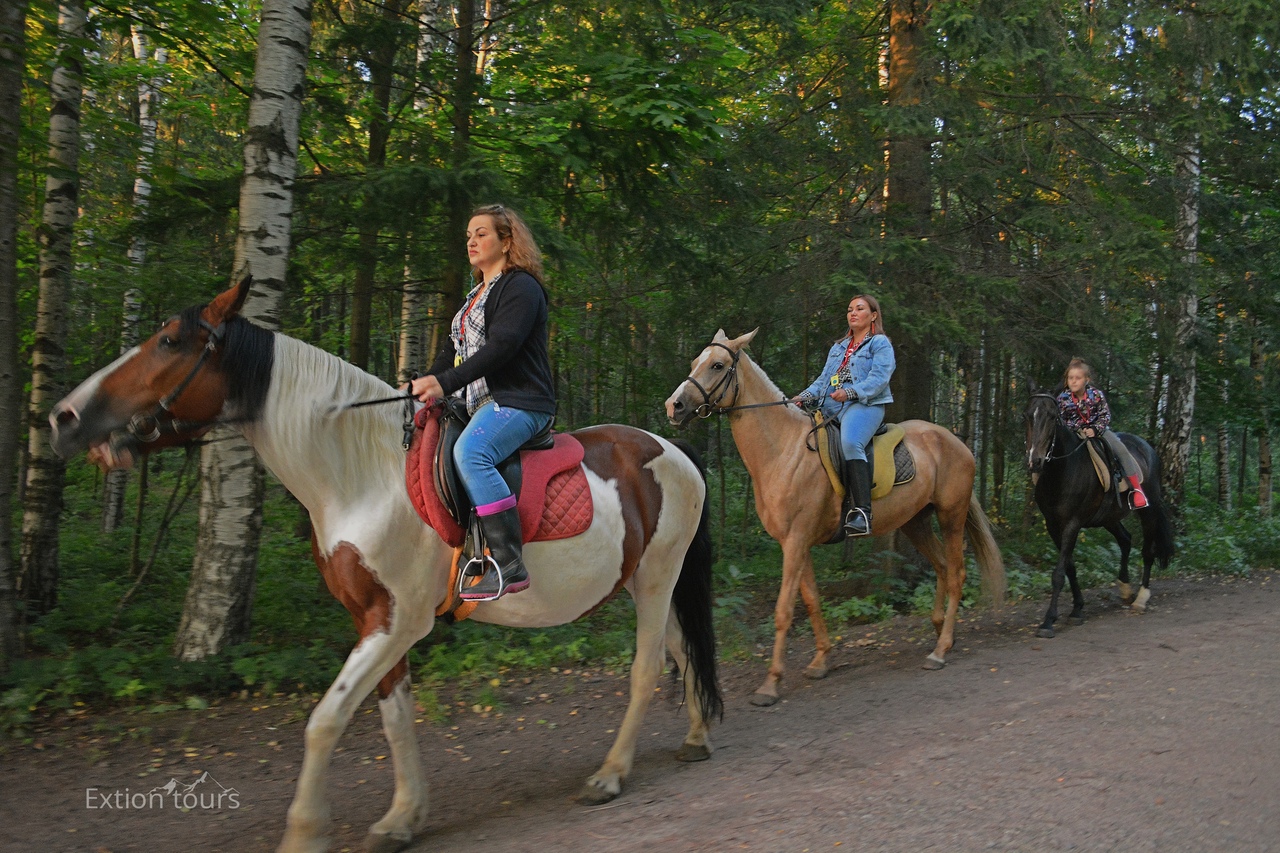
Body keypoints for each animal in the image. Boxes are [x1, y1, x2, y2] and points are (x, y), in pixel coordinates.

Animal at [49, 277, 727, 845]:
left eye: (168, 341)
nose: (64, 416)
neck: (360, 474)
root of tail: (672, 449)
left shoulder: (395, 621)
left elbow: (325, 721)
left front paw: (305, 831)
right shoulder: (373, 620)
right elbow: (395, 717)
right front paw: (403, 817)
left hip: (658, 577)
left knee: (646, 667)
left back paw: (610, 774)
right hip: (645, 581)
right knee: (679, 646)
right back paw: (697, 736)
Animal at [665, 325, 1003, 701]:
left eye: (718, 365)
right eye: (696, 362)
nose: (674, 406)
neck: (783, 451)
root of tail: (956, 442)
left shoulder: (796, 541)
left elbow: (784, 610)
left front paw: (770, 684)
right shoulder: (795, 543)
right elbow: (811, 600)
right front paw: (821, 661)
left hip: (951, 516)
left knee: (956, 573)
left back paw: (940, 650)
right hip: (916, 523)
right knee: (943, 567)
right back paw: (940, 629)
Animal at [1024, 389, 1172, 635]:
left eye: (1053, 417)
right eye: (1027, 415)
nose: (1035, 460)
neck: (1062, 471)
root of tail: (1148, 448)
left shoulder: (1072, 524)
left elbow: (1058, 573)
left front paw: (1048, 621)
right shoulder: (1053, 525)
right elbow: (1069, 567)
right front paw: (1077, 609)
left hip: (1148, 512)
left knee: (1147, 551)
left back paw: (1141, 598)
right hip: (1109, 517)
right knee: (1125, 540)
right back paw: (1125, 588)